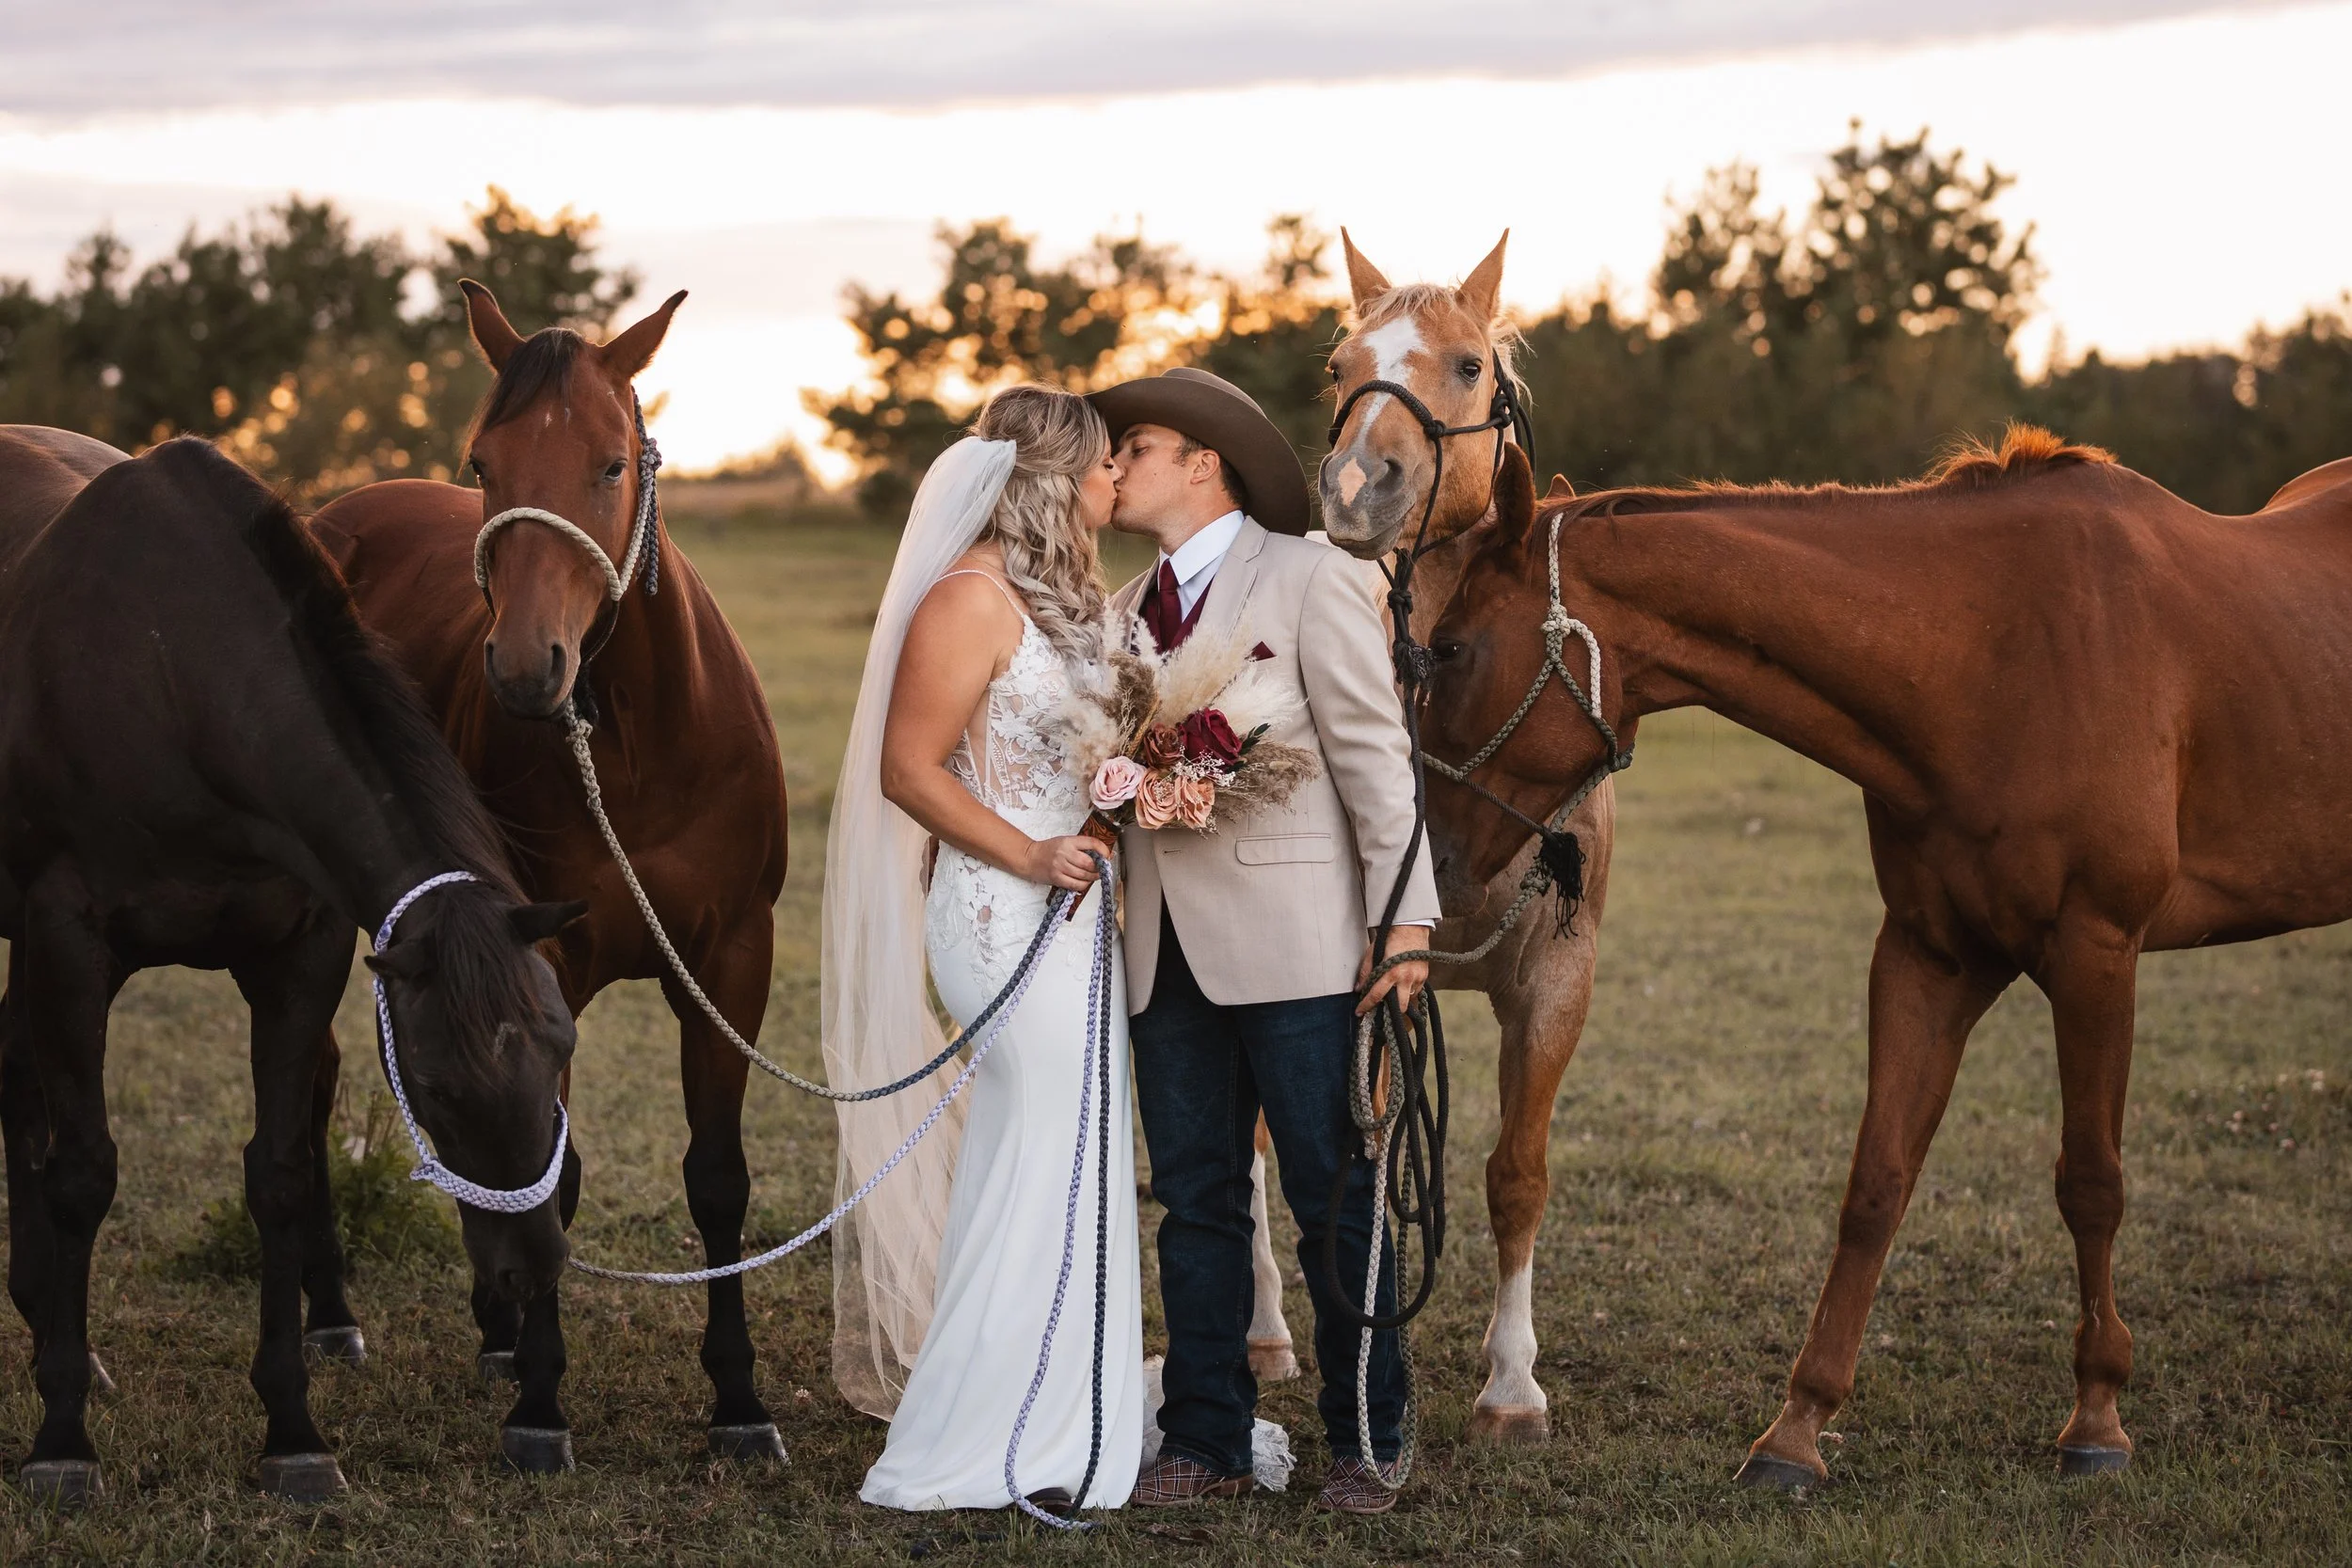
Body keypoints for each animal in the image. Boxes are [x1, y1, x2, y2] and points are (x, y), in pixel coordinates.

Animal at [0, 434, 580, 1503]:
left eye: (559, 1049)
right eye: (435, 1085)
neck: (172, 673)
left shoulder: (299, 954)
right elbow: (83, 1173)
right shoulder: (69, 942)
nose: (532, 1270)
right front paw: (61, 1438)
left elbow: (277, 1170)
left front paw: (293, 1430)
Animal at [309, 283, 791, 1470]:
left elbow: (718, 1179)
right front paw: (541, 1399)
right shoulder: (546, 958)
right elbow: (552, 1174)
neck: (638, 747)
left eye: (612, 464)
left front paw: (739, 1400)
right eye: (484, 462)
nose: (529, 667)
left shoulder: (730, 960)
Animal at [1249, 232, 1615, 1443]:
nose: (1359, 485)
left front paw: (1512, 1383)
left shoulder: (1555, 978)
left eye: (1465, 364)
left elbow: (1516, 1172)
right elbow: (1354, 1165)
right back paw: (1266, 1332)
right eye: (1338, 365)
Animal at [1418, 420, 2352, 1485]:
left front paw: (2096, 1416)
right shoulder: (1926, 955)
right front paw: (1797, 1426)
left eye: (1448, 647)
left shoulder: (2097, 953)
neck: (1986, 656)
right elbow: (1876, 1183)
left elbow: (2091, 1182)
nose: (1430, 866)